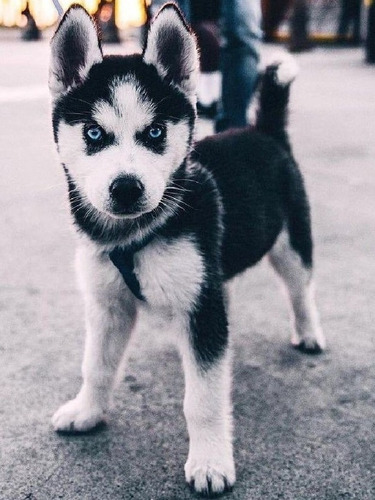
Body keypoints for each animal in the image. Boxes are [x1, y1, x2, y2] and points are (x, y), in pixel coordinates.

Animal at [50, 3, 326, 496]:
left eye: (156, 132)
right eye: (94, 134)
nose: (126, 188)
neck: (130, 237)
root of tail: (264, 132)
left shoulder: (202, 310)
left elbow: (204, 398)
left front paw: (211, 461)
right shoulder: (108, 305)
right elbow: (96, 365)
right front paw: (87, 411)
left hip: (290, 242)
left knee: (300, 288)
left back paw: (309, 331)